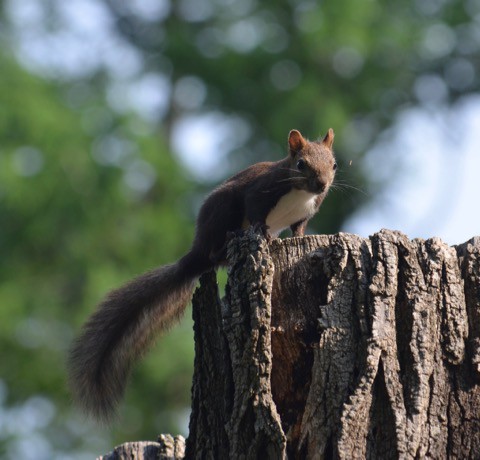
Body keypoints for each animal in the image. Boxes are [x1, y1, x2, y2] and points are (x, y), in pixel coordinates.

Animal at [68, 127, 338, 422]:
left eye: (334, 164)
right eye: (301, 164)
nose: (322, 184)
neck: (300, 193)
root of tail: (193, 255)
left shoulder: (305, 213)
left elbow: (299, 228)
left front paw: (296, 237)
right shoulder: (259, 192)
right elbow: (256, 212)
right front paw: (263, 233)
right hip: (224, 210)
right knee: (213, 253)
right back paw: (231, 243)